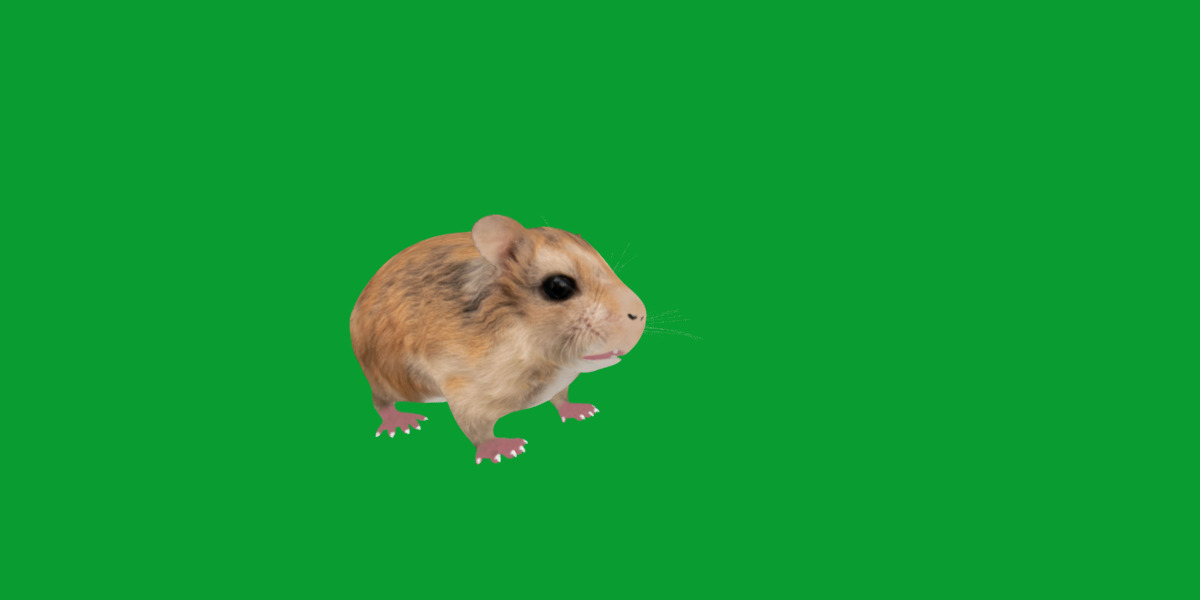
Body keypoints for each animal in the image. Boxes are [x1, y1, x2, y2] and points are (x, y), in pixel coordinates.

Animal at [350, 215, 647, 464]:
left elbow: (561, 398)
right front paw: (506, 450)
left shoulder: (558, 386)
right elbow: (477, 429)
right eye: (559, 287)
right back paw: (400, 423)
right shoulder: (464, 390)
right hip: (389, 379)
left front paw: (582, 411)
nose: (641, 315)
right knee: (380, 401)